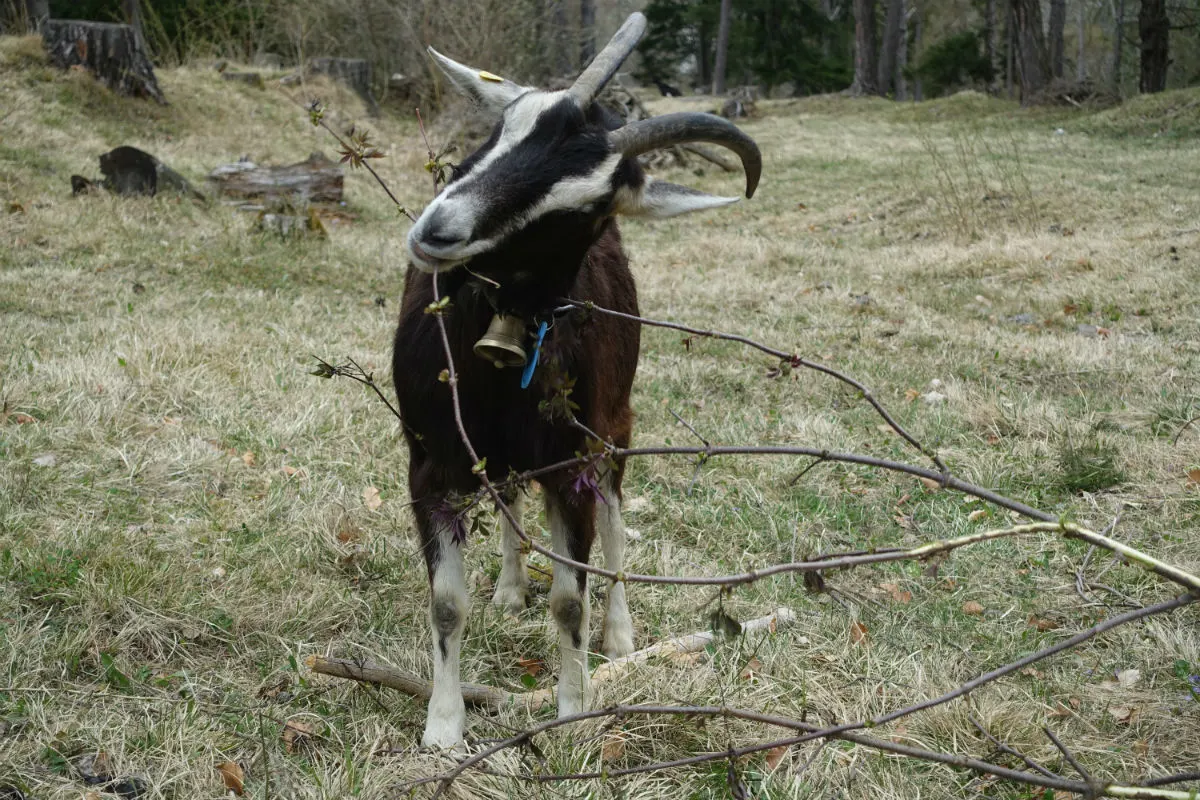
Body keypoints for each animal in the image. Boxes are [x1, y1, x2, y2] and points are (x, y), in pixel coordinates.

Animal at [393, 13, 761, 748]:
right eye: (501, 129)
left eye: (585, 206)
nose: (439, 230)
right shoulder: (432, 462)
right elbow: (446, 603)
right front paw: (443, 728)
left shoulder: (572, 465)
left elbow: (570, 598)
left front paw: (572, 709)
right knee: (509, 492)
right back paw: (510, 588)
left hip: (614, 428)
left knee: (616, 523)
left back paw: (618, 633)